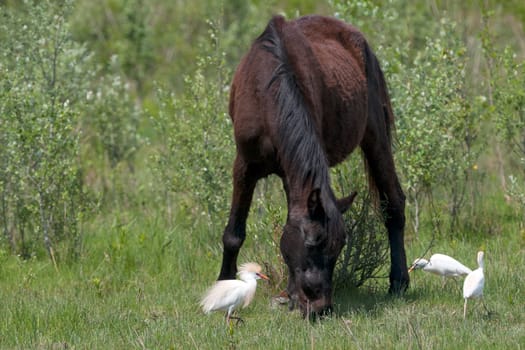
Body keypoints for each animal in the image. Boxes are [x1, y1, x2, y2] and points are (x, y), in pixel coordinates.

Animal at [217, 15, 410, 318]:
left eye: (340, 246)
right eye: (311, 243)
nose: (321, 308)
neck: (268, 88)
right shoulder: (246, 166)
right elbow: (234, 234)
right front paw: (224, 284)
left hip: (375, 136)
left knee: (393, 203)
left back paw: (399, 281)